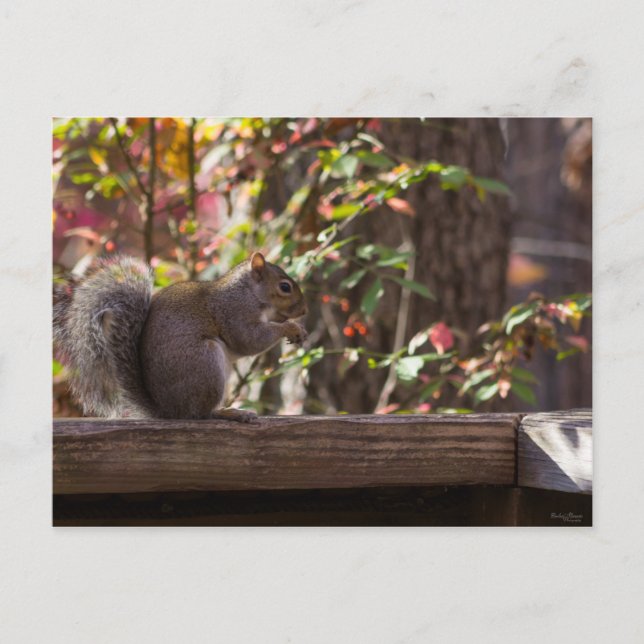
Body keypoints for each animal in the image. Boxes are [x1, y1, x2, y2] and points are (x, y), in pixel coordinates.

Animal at [53, 252, 308, 422]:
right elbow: (249, 340)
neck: (249, 292)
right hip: (205, 363)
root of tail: (168, 410)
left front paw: (297, 329)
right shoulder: (234, 313)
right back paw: (227, 412)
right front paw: (290, 328)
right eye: (285, 287)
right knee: (200, 414)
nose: (304, 312)